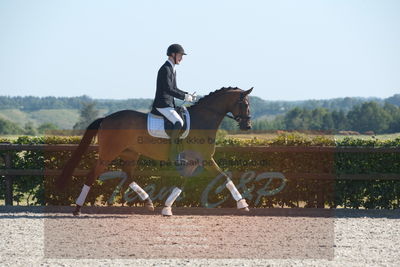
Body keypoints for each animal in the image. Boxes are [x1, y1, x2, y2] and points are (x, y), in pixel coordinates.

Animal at [56, 87, 253, 217]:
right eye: (244, 104)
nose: (248, 126)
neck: (202, 121)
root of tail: (106, 118)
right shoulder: (201, 159)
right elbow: (214, 178)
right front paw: (243, 204)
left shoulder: (201, 160)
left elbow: (220, 177)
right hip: (109, 153)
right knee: (93, 175)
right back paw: (77, 209)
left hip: (130, 154)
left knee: (128, 176)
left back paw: (148, 202)